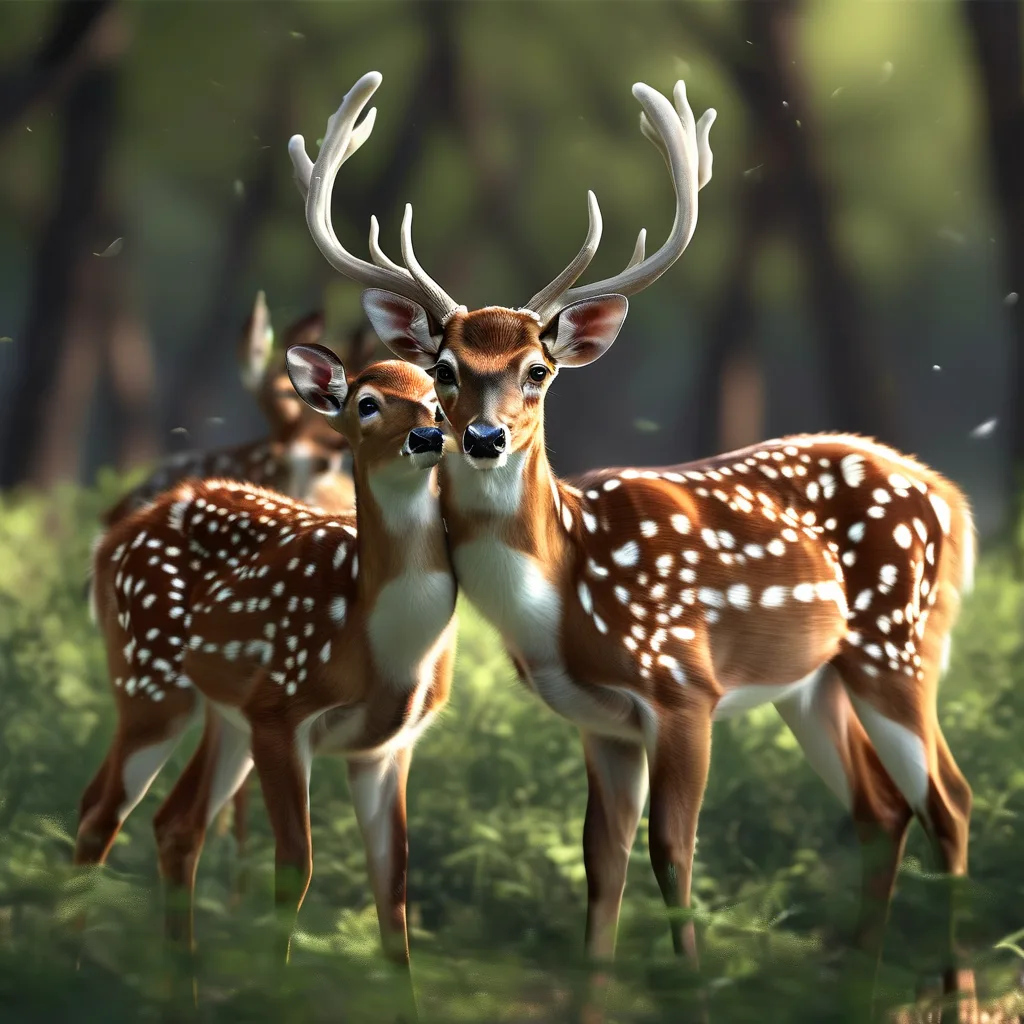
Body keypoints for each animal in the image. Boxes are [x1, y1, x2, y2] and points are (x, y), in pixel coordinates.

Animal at [76, 352, 456, 1017]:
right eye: (367, 402)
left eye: (437, 401)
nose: (428, 437)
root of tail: (112, 537)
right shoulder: (285, 710)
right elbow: (294, 869)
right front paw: (275, 998)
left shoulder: (388, 748)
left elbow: (393, 891)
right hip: (151, 679)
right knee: (101, 816)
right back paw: (59, 971)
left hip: (226, 714)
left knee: (173, 825)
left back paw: (179, 996)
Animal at [288, 71, 978, 1023]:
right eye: (445, 370)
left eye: (538, 370)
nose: (484, 438)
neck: (564, 594)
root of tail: (953, 499)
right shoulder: (600, 721)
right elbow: (600, 865)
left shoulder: (685, 688)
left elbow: (673, 856)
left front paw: (693, 991)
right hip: (816, 680)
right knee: (882, 810)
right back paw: (861, 990)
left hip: (898, 643)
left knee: (950, 799)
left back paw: (957, 993)